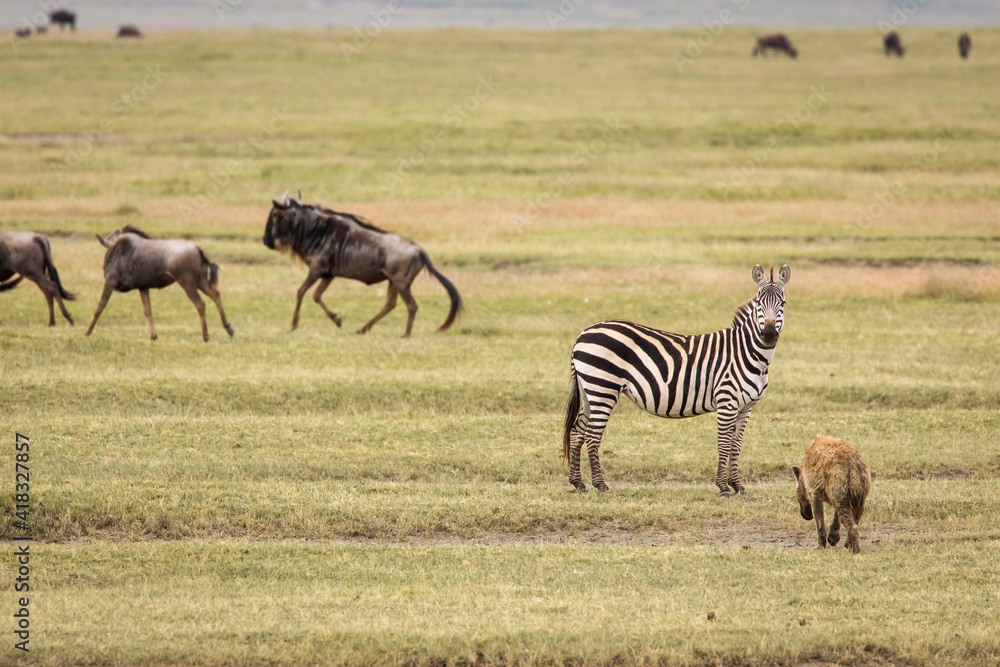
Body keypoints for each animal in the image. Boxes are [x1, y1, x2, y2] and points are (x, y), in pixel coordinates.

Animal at [563, 264, 790, 497]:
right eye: (759, 303)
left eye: (782, 303)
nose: (769, 334)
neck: (748, 354)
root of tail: (583, 334)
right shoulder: (727, 401)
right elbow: (724, 442)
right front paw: (724, 487)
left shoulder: (746, 407)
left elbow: (736, 445)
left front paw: (737, 485)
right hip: (603, 388)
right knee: (592, 435)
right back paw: (600, 485)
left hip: (590, 389)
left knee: (577, 431)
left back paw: (578, 483)